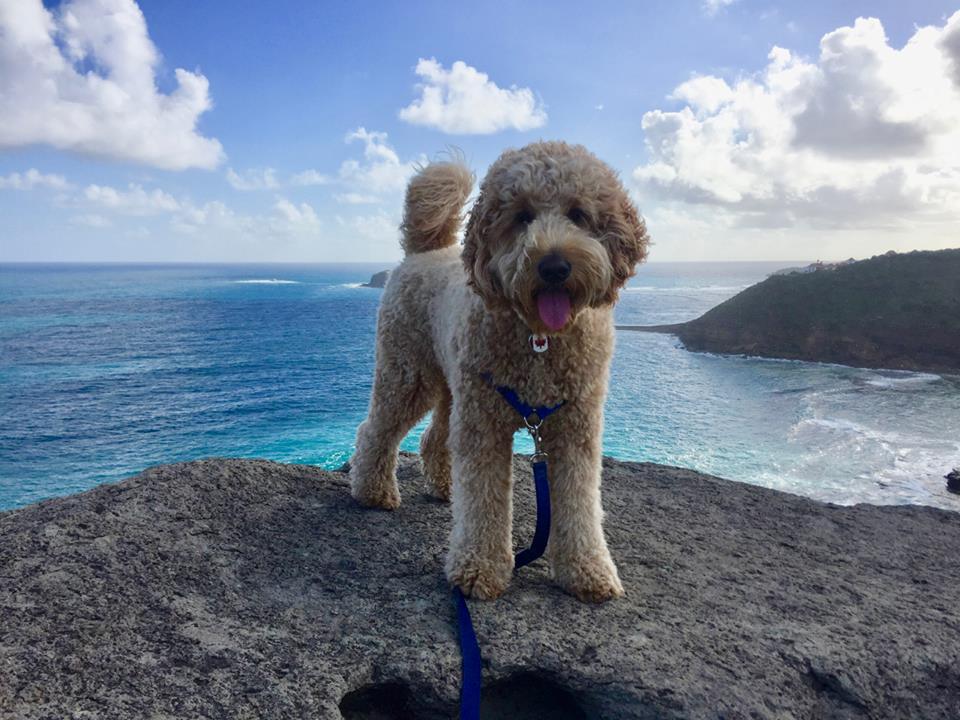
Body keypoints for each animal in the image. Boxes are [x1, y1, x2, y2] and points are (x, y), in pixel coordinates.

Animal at [348, 141, 648, 600]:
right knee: (376, 429)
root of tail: (424, 250)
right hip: (409, 372)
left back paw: (444, 488)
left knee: (436, 437)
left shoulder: (575, 427)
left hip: (453, 385)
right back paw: (373, 492)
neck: (539, 338)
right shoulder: (485, 425)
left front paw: (587, 570)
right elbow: (484, 498)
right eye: (521, 215)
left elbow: (580, 501)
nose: (554, 266)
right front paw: (479, 569)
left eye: (579, 213)